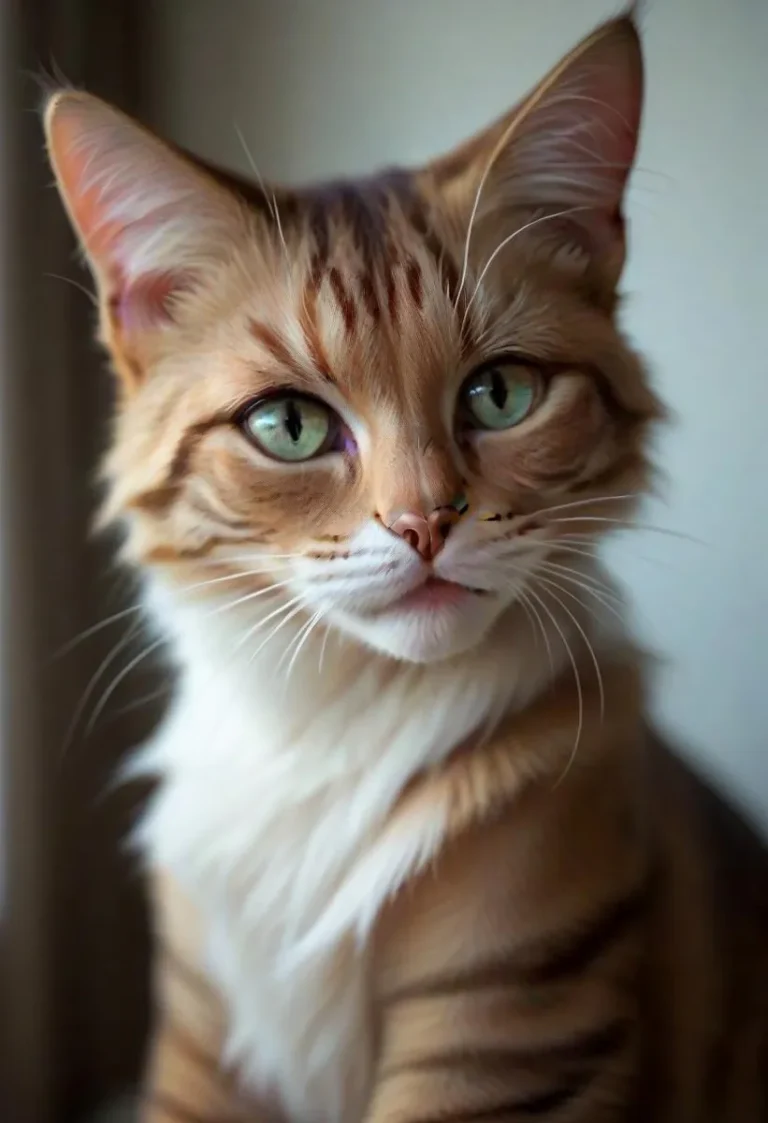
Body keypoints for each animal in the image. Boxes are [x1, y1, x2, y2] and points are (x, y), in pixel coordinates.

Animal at [43, 10, 768, 1123]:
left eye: (501, 394)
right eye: (290, 425)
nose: (425, 521)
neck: (325, 727)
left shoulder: (505, 1028)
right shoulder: (201, 1046)